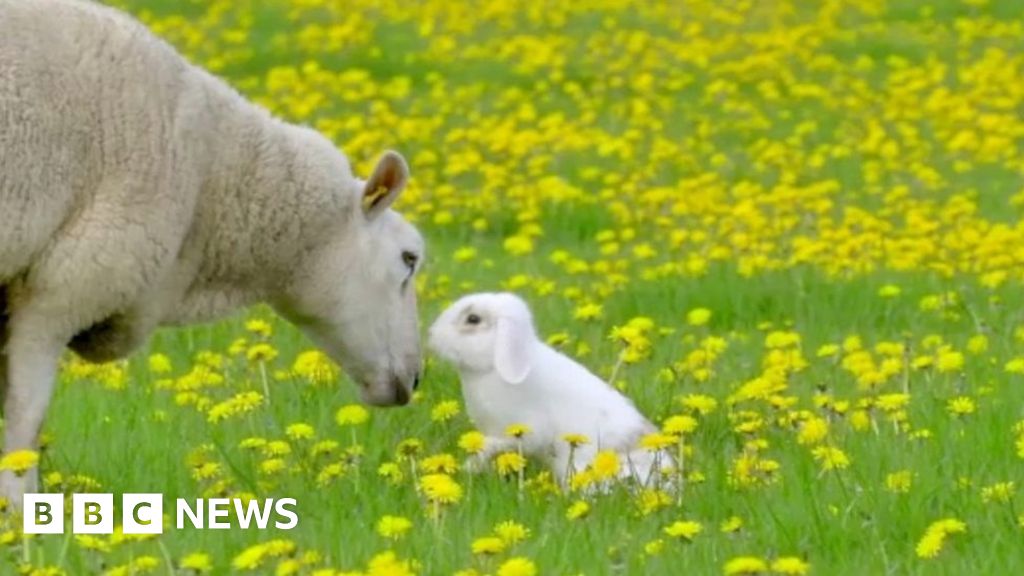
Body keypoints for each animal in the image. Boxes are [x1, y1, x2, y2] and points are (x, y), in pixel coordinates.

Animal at [428, 292, 675, 489]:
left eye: (473, 319)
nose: (432, 335)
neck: (492, 367)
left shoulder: (525, 429)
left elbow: (500, 444)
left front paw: (470, 465)